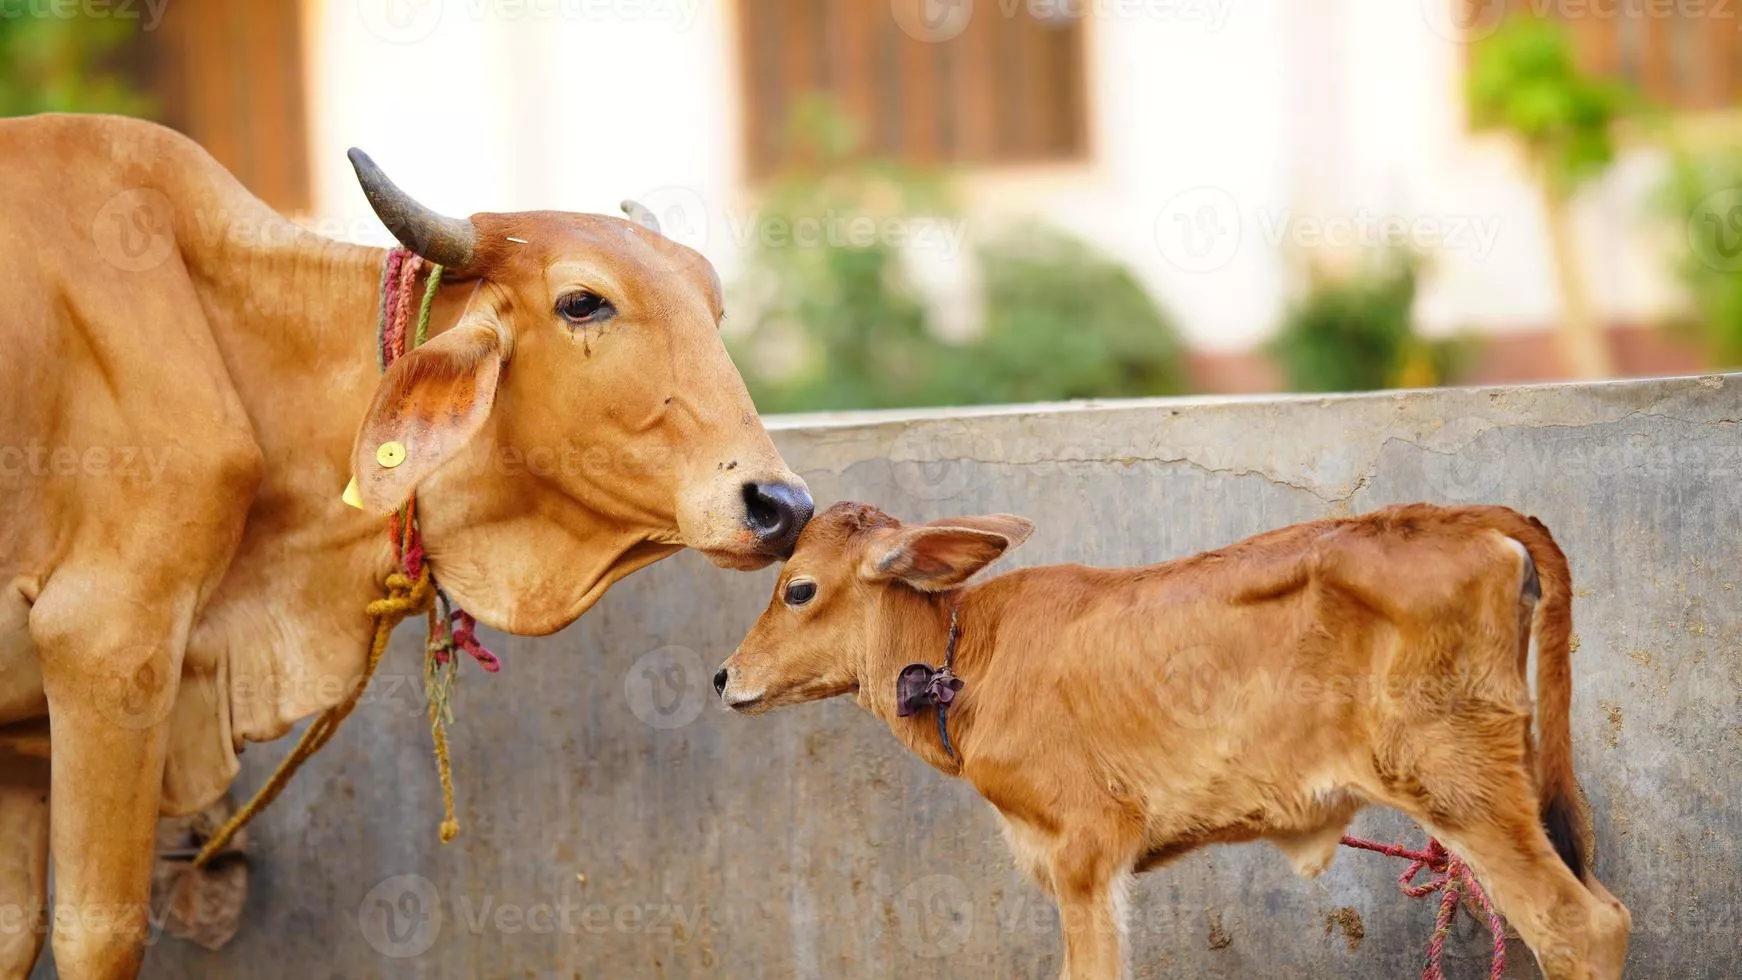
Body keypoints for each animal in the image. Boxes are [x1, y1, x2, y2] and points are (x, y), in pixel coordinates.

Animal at [0, 113, 813, 978]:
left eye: (713, 310)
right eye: (583, 302)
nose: (781, 505)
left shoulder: (22, 740)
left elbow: (15, 930)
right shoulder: (108, 648)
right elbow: (97, 933)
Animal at [716, 502, 1632, 980]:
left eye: (797, 589)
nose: (724, 677)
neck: (965, 654)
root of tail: (1461, 517)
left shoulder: (1087, 845)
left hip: (1456, 777)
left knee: (1581, 927)